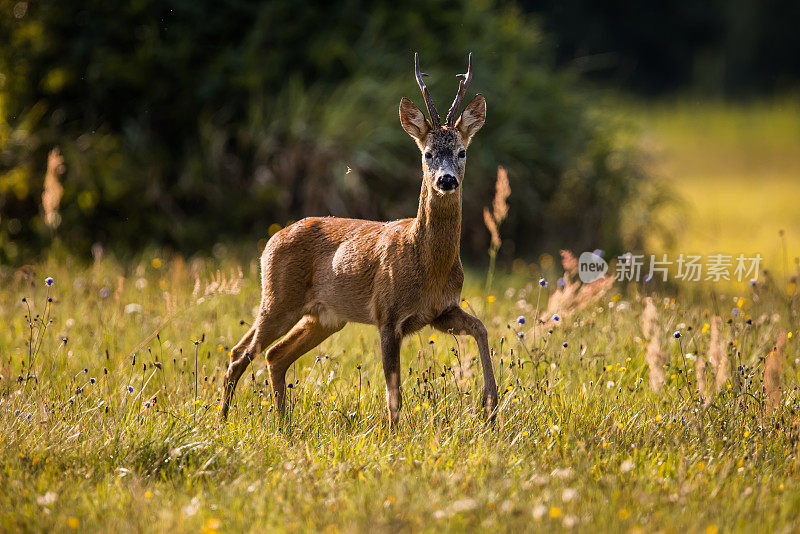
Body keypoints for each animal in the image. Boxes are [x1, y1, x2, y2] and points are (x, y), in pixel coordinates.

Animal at [219, 51, 494, 428]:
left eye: (462, 151)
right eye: (427, 153)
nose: (446, 180)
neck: (426, 263)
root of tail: (270, 242)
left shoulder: (441, 311)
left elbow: (481, 329)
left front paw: (490, 405)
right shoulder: (387, 313)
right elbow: (393, 389)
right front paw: (395, 435)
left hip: (324, 316)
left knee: (274, 354)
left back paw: (283, 425)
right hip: (279, 298)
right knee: (240, 353)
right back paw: (222, 419)